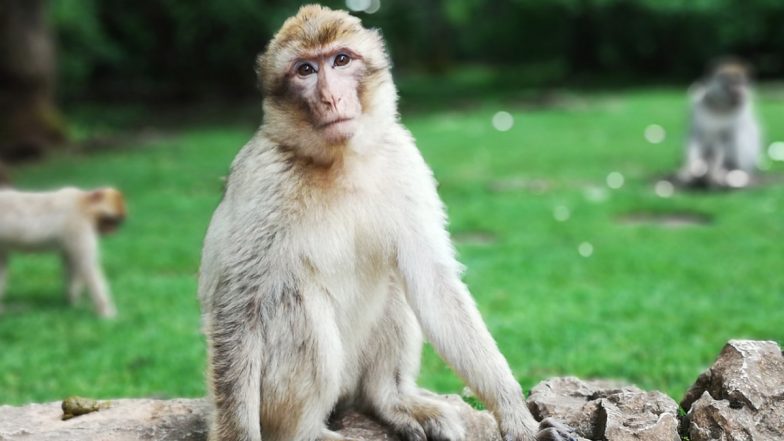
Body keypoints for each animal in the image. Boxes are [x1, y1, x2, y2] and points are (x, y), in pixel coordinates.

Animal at [0, 187, 125, 318]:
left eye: (117, 222)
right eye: (110, 220)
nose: (113, 231)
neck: (83, 203)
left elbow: (71, 262)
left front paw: (73, 302)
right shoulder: (78, 224)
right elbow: (87, 265)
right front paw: (108, 313)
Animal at [198, 5, 574, 441]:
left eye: (341, 60)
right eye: (305, 69)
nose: (330, 97)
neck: (341, 163)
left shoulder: (402, 158)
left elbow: (433, 284)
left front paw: (516, 417)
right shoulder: (262, 179)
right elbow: (237, 305)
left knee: (397, 285)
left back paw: (389, 399)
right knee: (294, 302)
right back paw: (306, 431)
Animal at [677, 59, 762, 188]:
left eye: (741, 83)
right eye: (732, 83)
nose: (740, 91)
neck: (720, 106)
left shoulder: (741, 110)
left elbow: (724, 138)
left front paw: (715, 171)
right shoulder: (696, 103)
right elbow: (696, 135)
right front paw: (690, 169)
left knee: (738, 135)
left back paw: (730, 171)